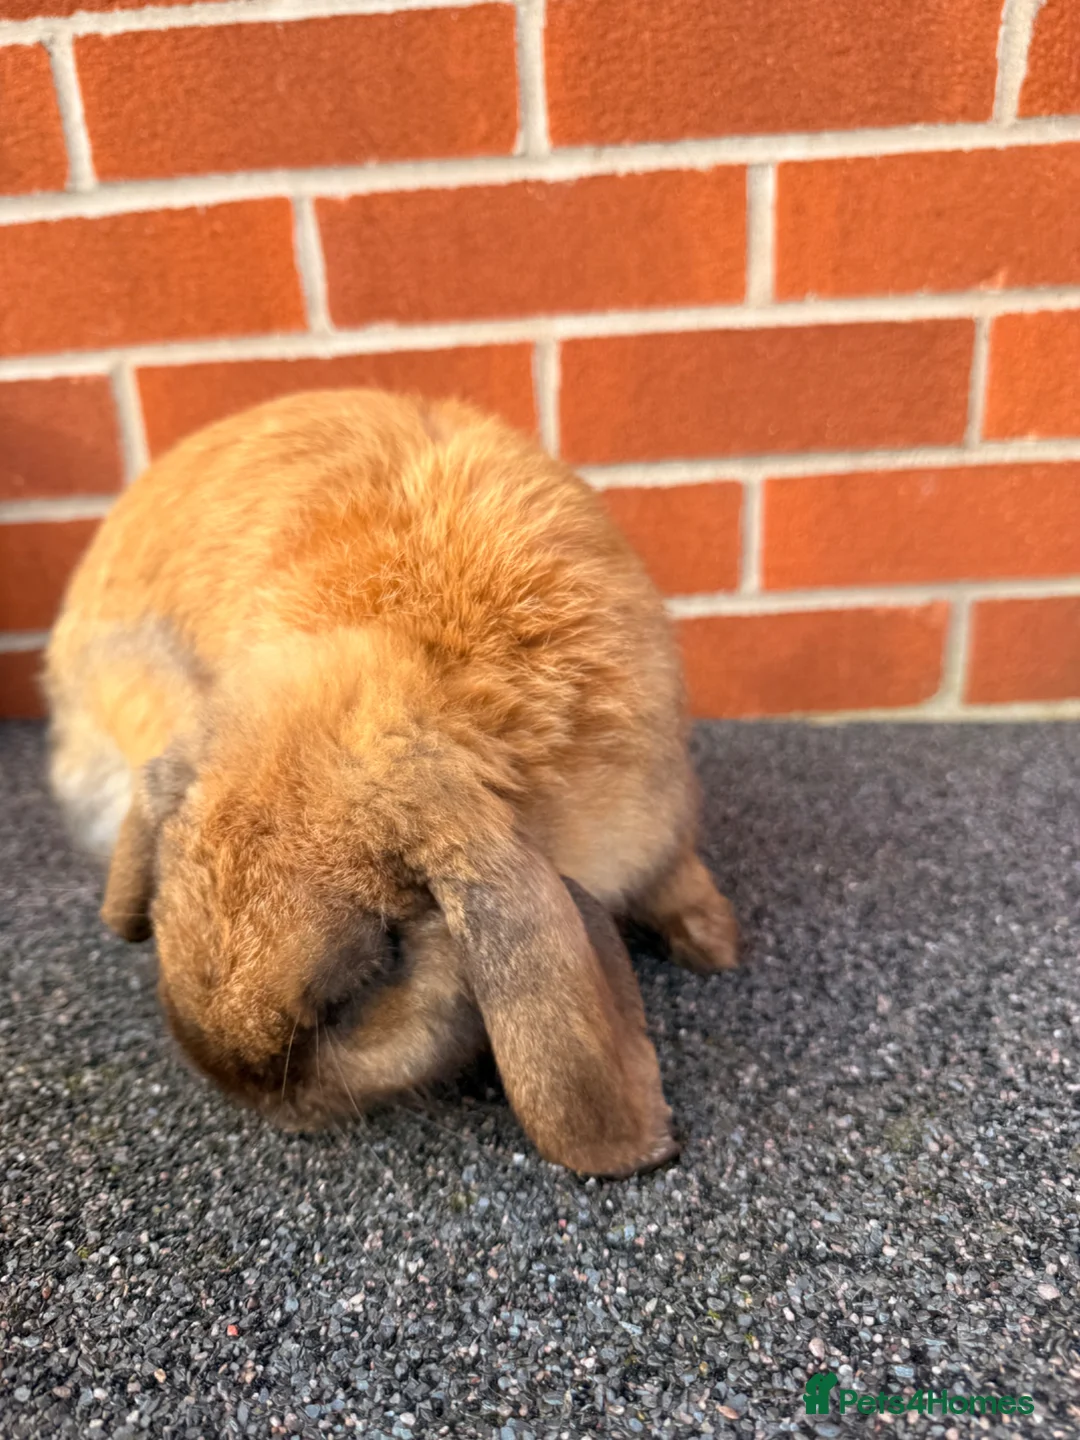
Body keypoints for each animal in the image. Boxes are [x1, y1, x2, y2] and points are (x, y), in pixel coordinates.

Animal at [45, 390, 737, 1177]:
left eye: (360, 987)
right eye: (161, 915)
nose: (246, 1094)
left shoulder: (657, 815)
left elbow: (676, 881)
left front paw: (717, 946)